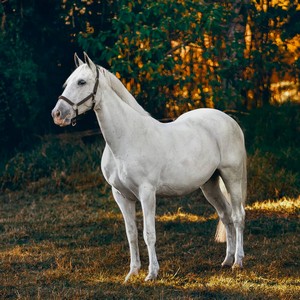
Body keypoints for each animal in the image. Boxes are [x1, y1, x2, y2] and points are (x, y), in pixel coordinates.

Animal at [51, 53, 247, 282]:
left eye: (81, 82)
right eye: (67, 83)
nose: (57, 114)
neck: (126, 138)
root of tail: (229, 120)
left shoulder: (147, 193)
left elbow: (148, 234)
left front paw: (152, 273)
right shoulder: (121, 195)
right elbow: (131, 234)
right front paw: (132, 272)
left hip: (231, 176)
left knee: (237, 216)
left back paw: (238, 262)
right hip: (209, 184)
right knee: (225, 215)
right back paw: (226, 260)